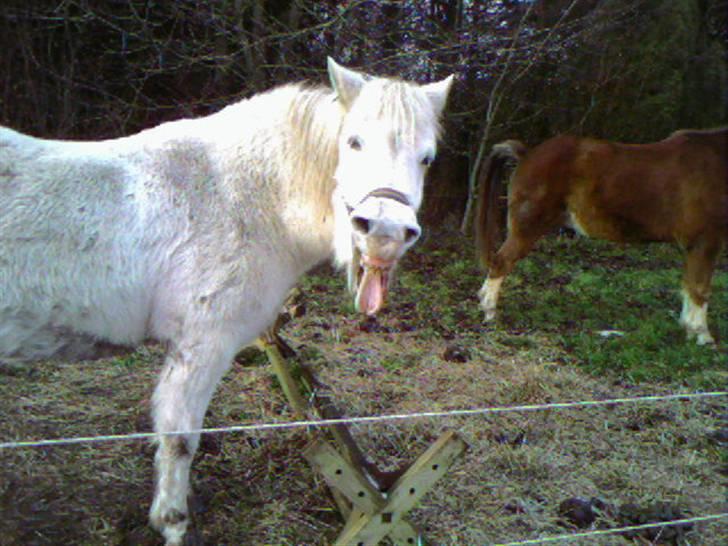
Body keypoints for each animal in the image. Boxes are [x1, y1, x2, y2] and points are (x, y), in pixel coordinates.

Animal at [0, 57, 452, 540]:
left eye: (427, 158)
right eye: (354, 142)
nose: (385, 233)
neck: (245, 196)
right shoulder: (203, 346)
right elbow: (179, 440)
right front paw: (174, 525)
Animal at [474, 125, 724, 342]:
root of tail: (527, 154)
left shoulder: (693, 246)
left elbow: (689, 286)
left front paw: (690, 330)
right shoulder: (705, 242)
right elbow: (700, 288)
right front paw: (703, 336)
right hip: (527, 229)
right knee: (501, 262)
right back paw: (490, 311)